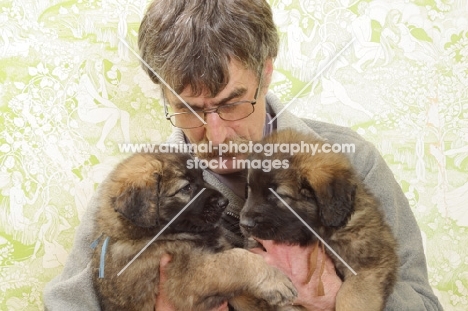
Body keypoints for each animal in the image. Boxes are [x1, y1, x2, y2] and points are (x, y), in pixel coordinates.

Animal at [90, 152, 298, 311]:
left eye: (202, 177)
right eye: (186, 188)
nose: (224, 202)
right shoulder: (187, 279)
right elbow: (238, 259)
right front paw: (275, 279)